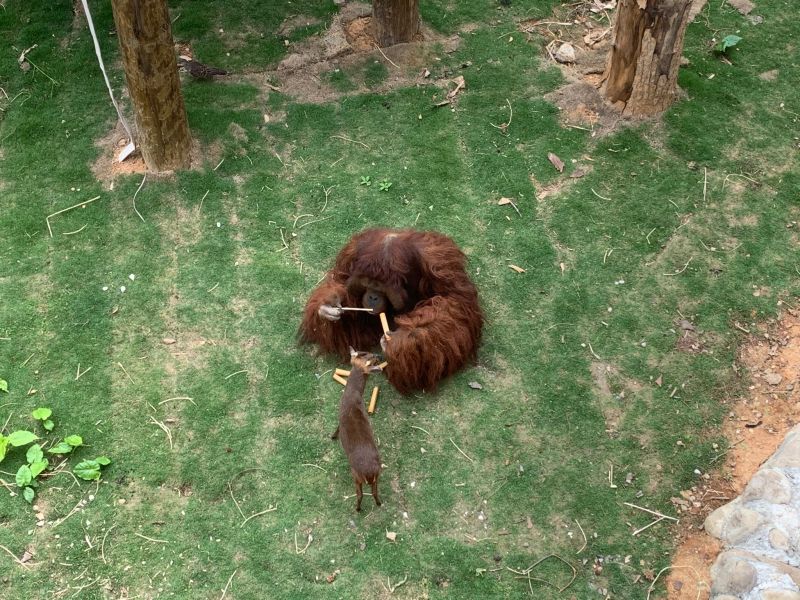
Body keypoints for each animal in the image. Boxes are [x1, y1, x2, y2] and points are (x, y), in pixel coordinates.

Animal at [330, 346, 382, 510]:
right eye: (367, 354)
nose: (379, 354)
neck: (352, 397)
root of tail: (369, 474)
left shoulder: (340, 416)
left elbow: (337, 427)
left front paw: (333, 436)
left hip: (356, 476)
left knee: (360, 495)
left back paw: (358, 509)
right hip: (378, 476)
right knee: (375, 492)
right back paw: (379, 504)